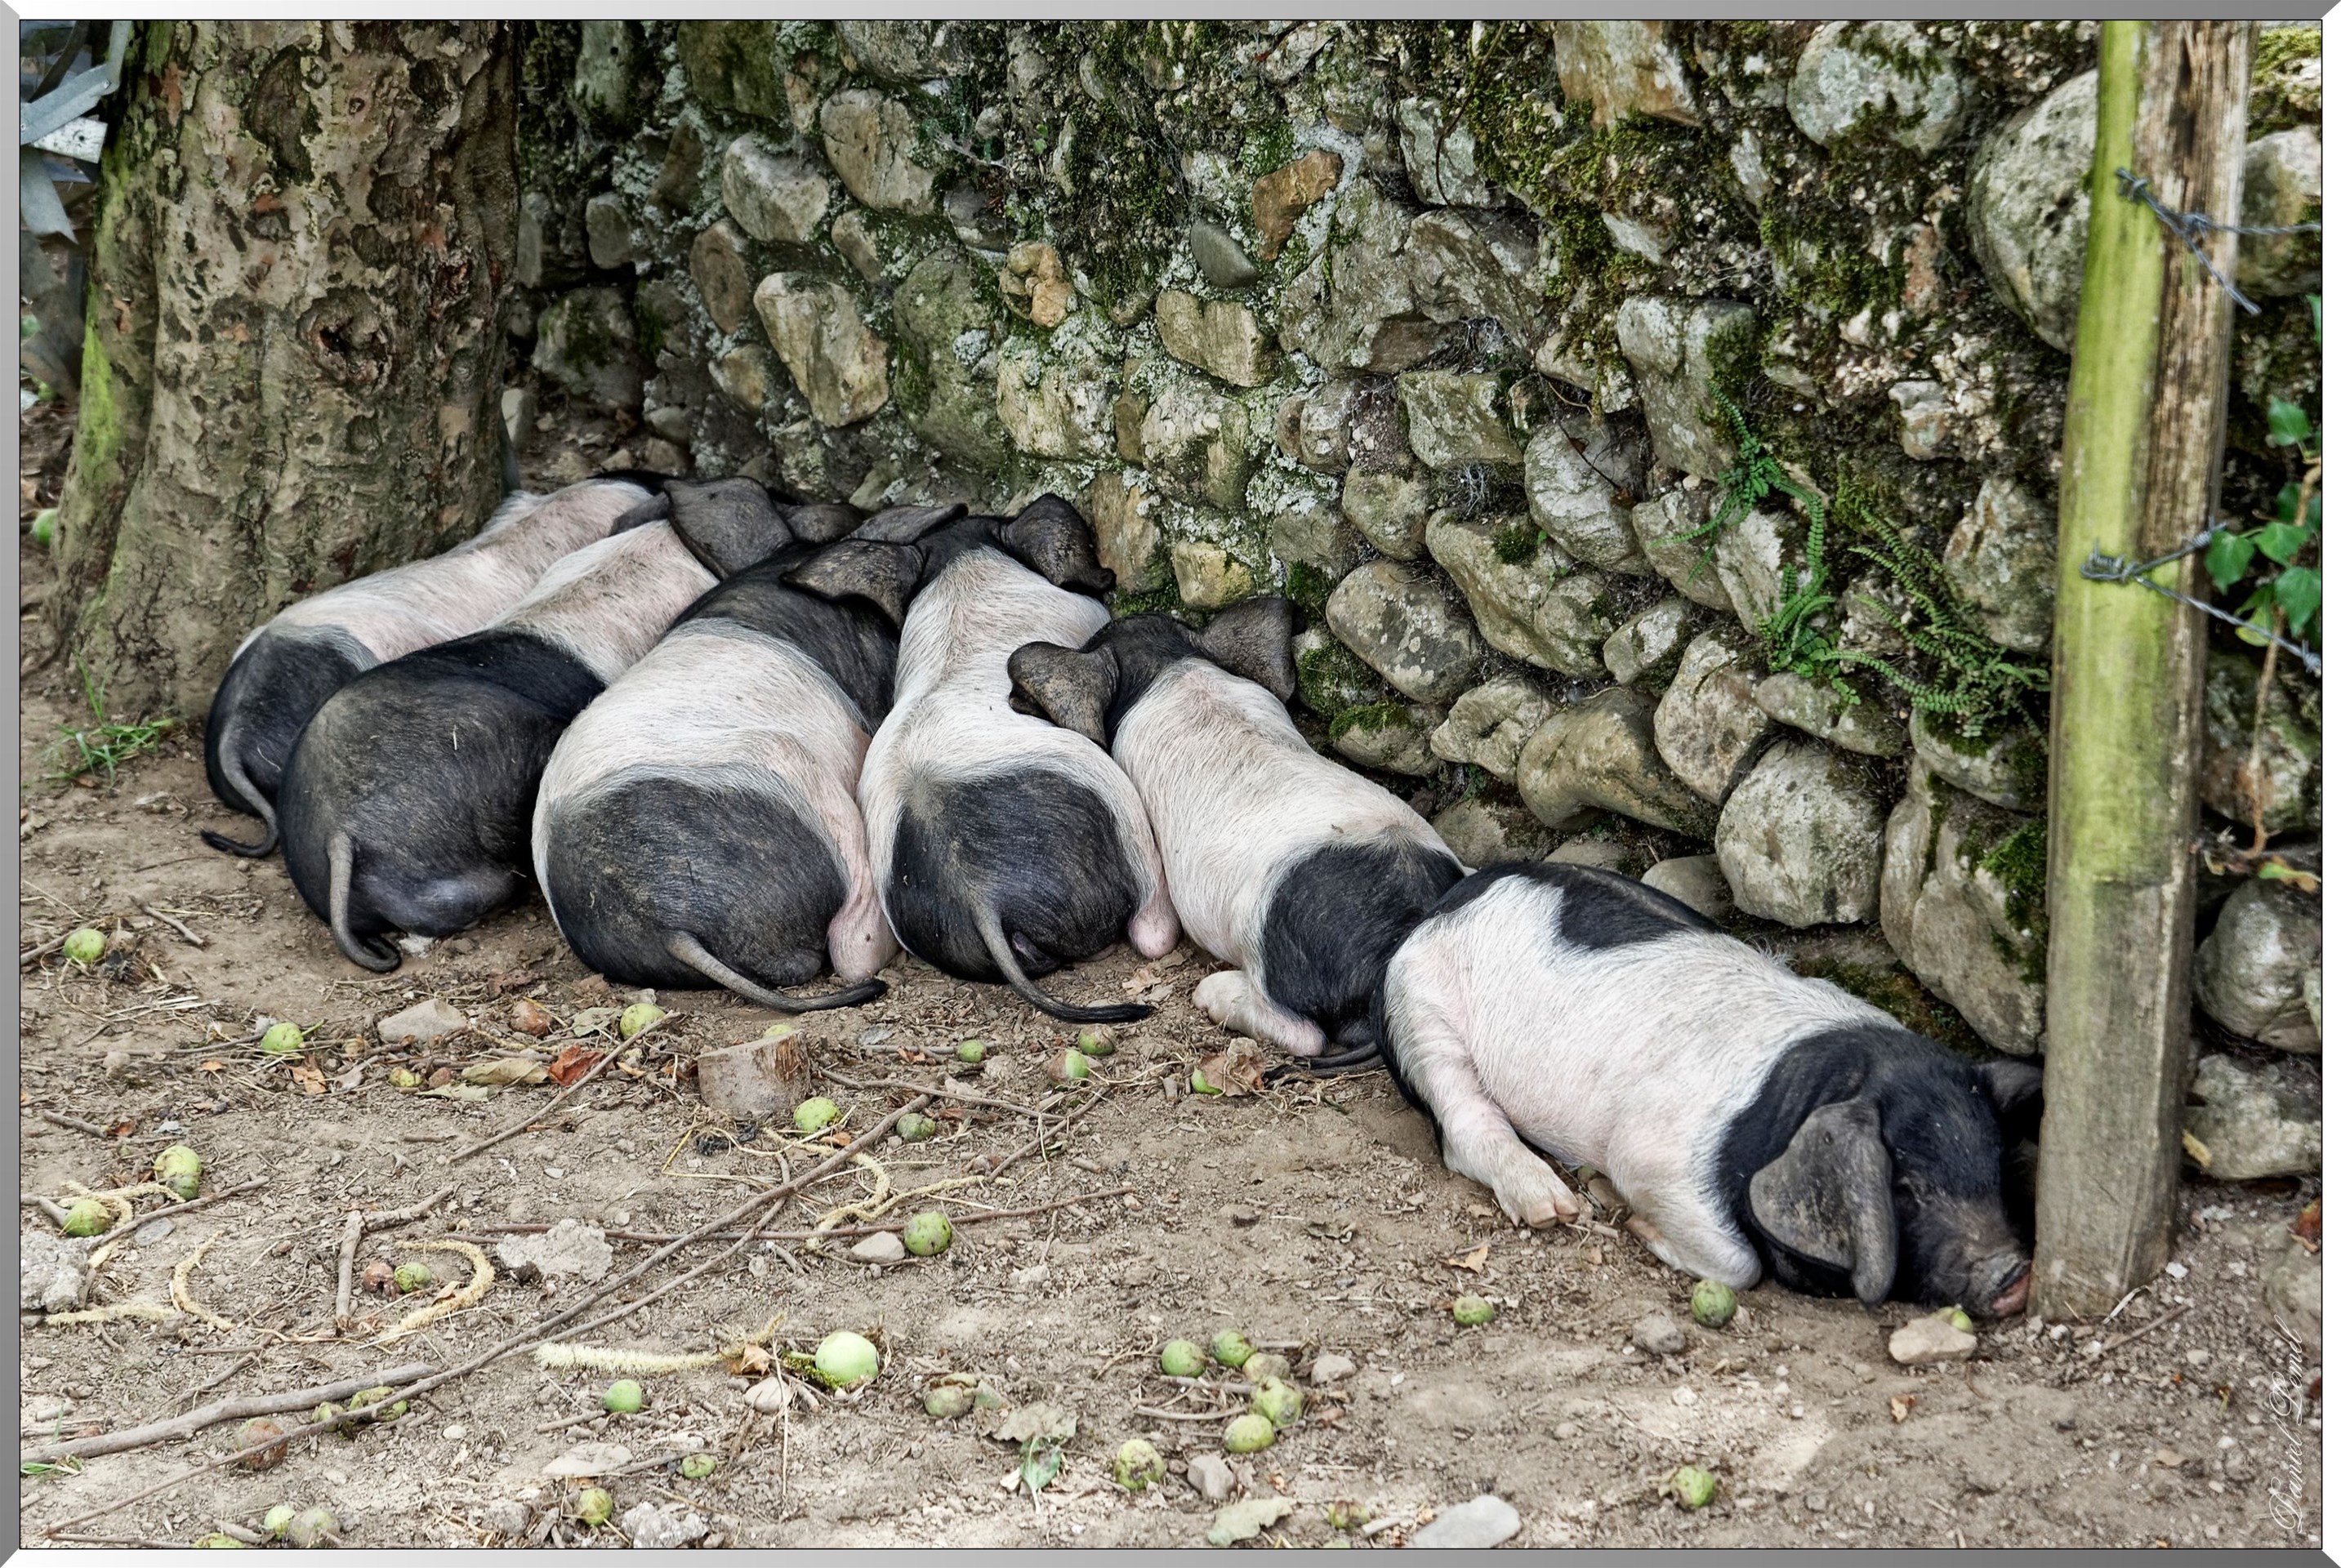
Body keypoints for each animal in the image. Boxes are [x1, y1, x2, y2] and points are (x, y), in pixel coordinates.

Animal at [1375, 862, 2042, 1316]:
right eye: (1906, 1186)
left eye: (1996, 1165)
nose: (2015, 1275)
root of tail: (1449, 900)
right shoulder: (1650, 1155)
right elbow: (1739, 1264)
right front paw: (1634, 1224)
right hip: (1418, 1011)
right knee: (1463, 1125)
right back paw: (1555, 1207)